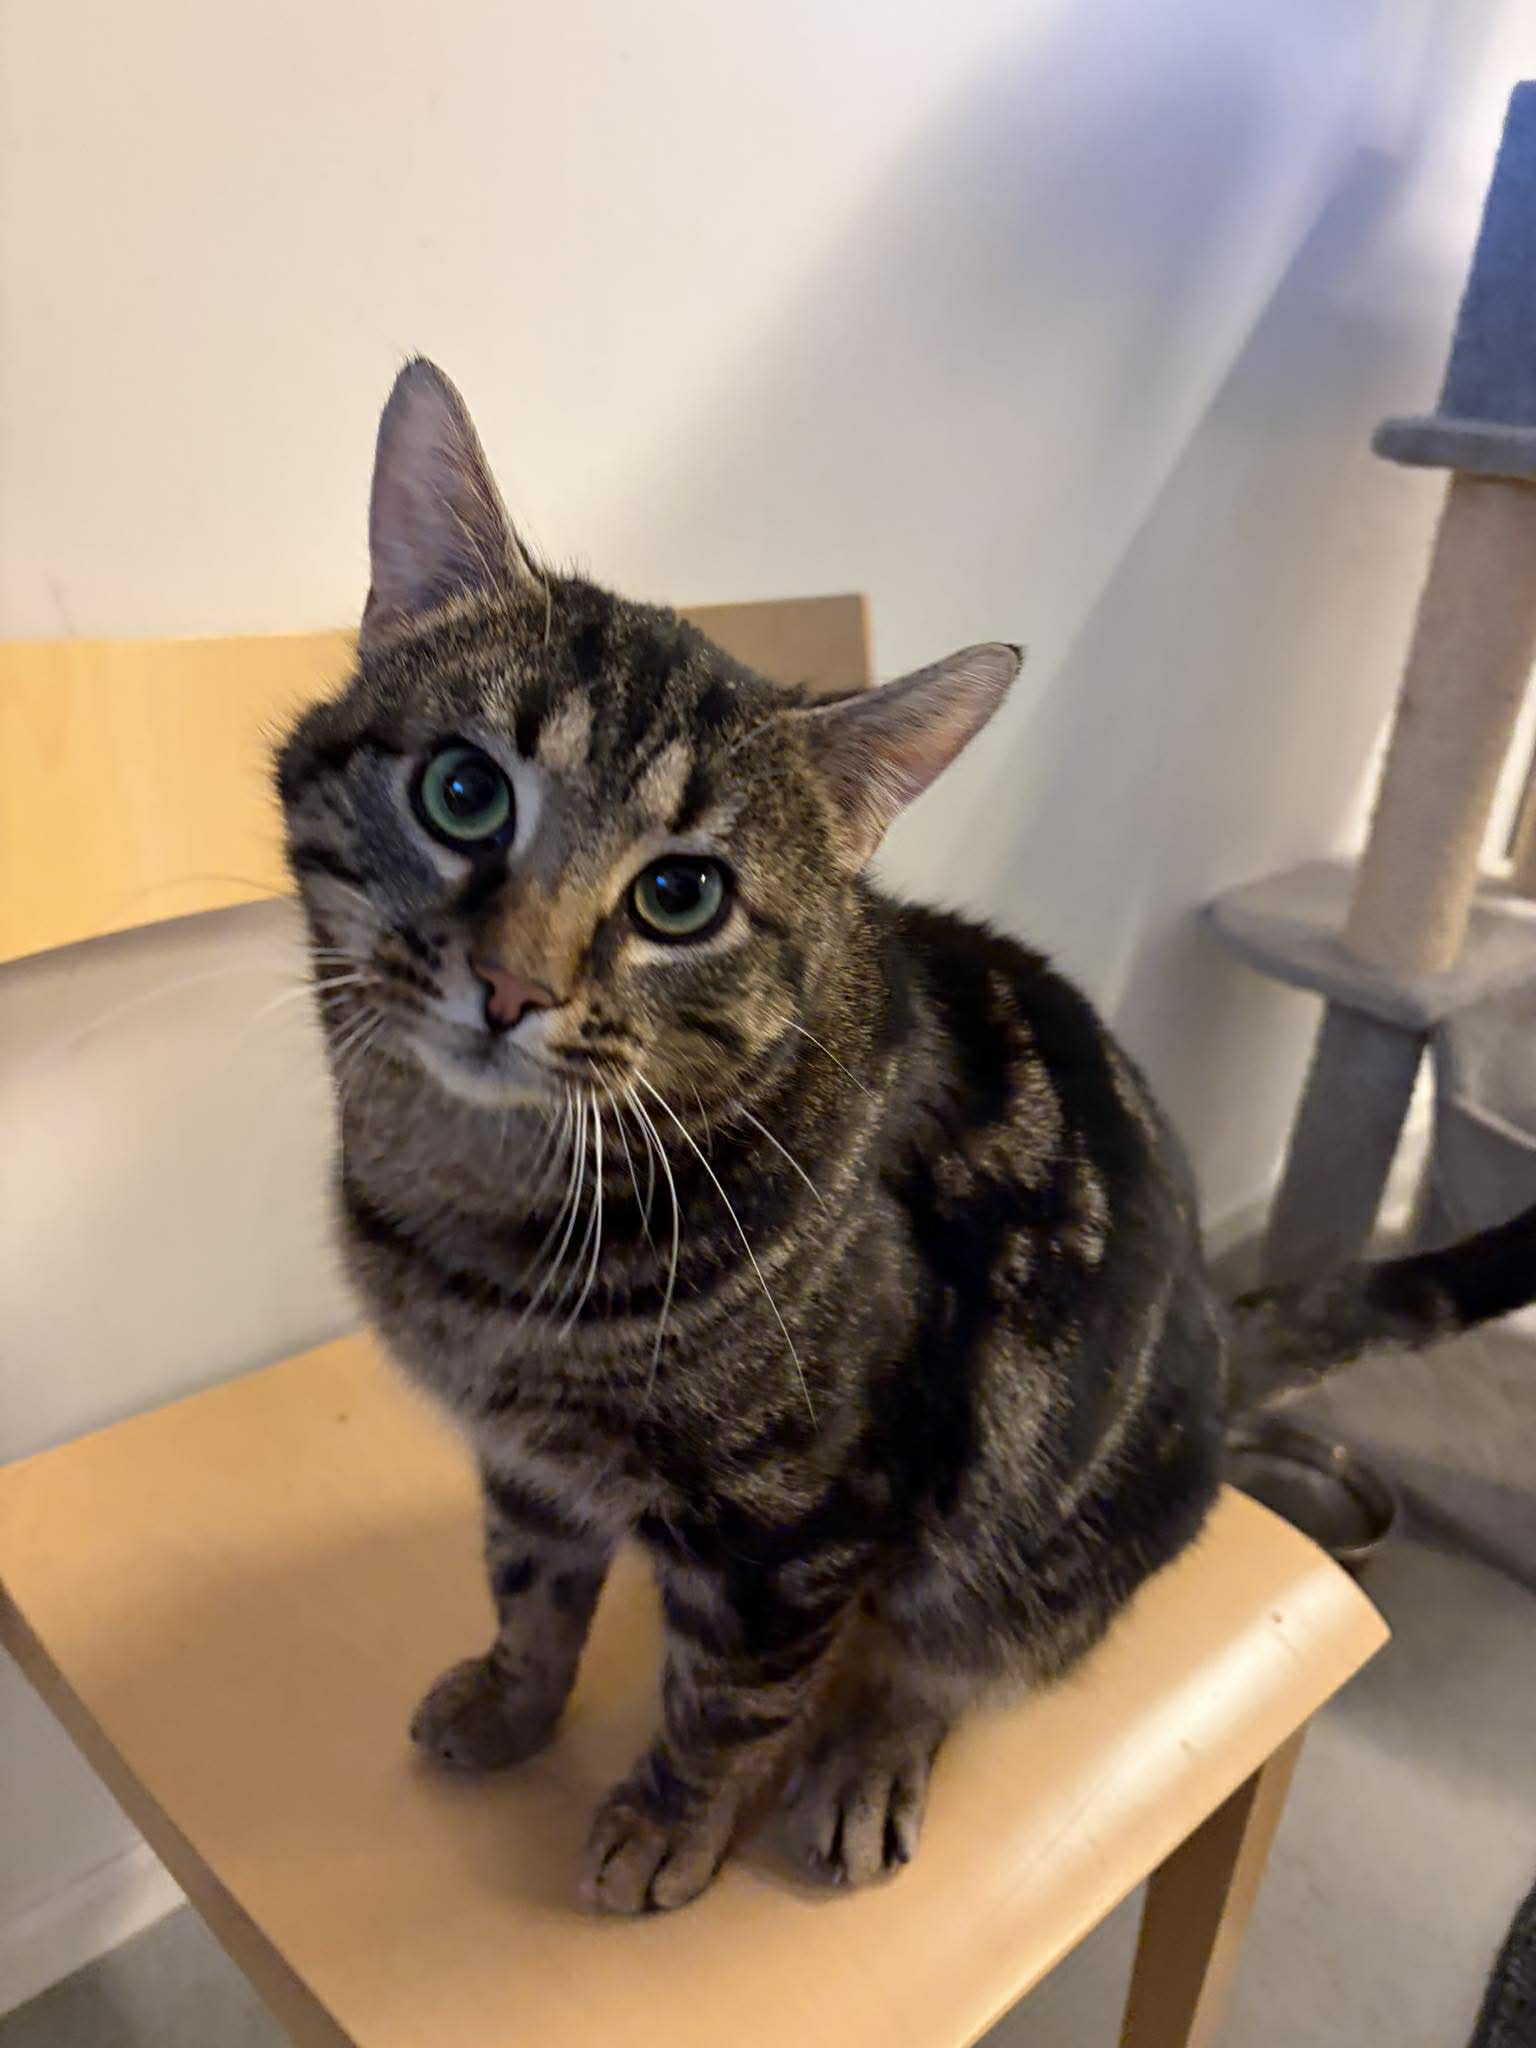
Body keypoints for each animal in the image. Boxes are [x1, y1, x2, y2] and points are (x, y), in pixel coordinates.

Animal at [277, 358, 1536, 1913]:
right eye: (464, 792)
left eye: (681, 895)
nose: (512, 986)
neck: (481, 1203)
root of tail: (1217, 1333)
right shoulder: (528, 1461)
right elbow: (531, 1591)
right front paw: (513, 1705)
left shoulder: (799, 1515)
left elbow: (730, 1695)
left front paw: (667, 1825)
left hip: (1018, 1536)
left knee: (943, 1657)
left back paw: (869, 1760)